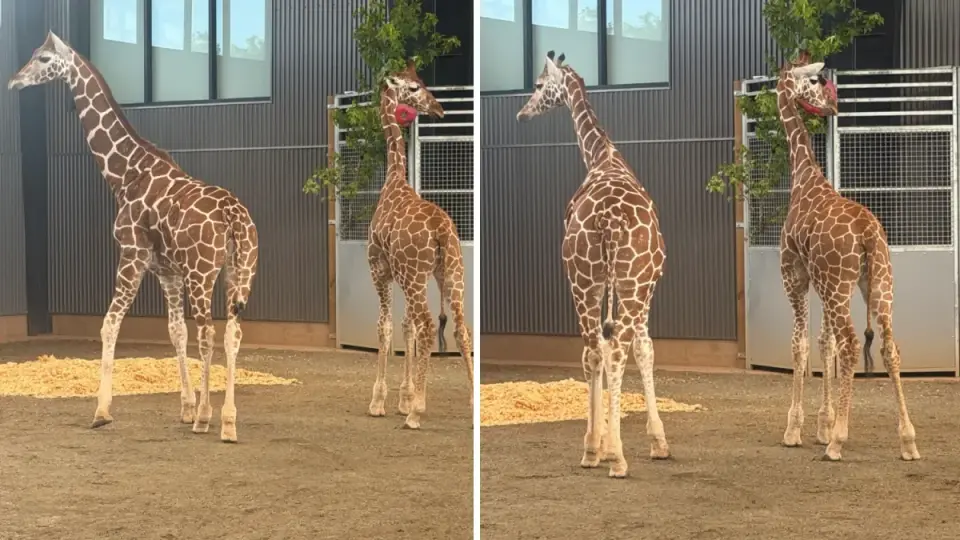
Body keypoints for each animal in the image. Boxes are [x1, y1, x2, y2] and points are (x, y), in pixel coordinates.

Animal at [8, 31, 259, 443]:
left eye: (43, 58)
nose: (15, 81)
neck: (126, 174)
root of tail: (233, 216)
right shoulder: (166, 271)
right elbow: (176, 332)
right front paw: (185, 407)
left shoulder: (132, 254)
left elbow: (110, 324)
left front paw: (102, 411)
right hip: (240, 272)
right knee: (232, 333)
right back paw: (228, 421)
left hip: (203, 273)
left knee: (209, 332)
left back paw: (208, 418)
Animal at [366, 60, 474, 430]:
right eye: (414, 87)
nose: (439, 108)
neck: (394, 180)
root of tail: (441, 230)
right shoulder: (405, 276)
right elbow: (405, 327)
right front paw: (404, 396)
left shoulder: (380, 270)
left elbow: (386, 328)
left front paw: (381, 401)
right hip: (451, 272)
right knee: (461, 327)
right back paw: (473, 402)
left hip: (416, 276)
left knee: (428, 325)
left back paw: (417, 412)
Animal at [516, 51, 669, 478]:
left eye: (538, 84)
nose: (522, 113)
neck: (604, 157)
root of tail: (609, 220)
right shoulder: (643, 285)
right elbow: (643, 349)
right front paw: (656, 441)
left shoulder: (622, 285)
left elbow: (633, 347)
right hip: (613, 281)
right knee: (609, 350)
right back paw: (611, 454)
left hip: (586, 280)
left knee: (595, 349)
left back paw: (594, 450)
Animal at [775, 51, 919, 461]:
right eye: (813, 81)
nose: (832, 106)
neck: (804, 177)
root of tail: (868, 234)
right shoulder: (820, 281)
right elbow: (825, 344)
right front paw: (821, 424)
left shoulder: (794, 275)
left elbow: (801, 345)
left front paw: (797, 429)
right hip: (878, 282)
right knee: (889, 347)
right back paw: (908, 440)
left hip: (841, 285)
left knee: (854, 344)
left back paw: (838, 440)